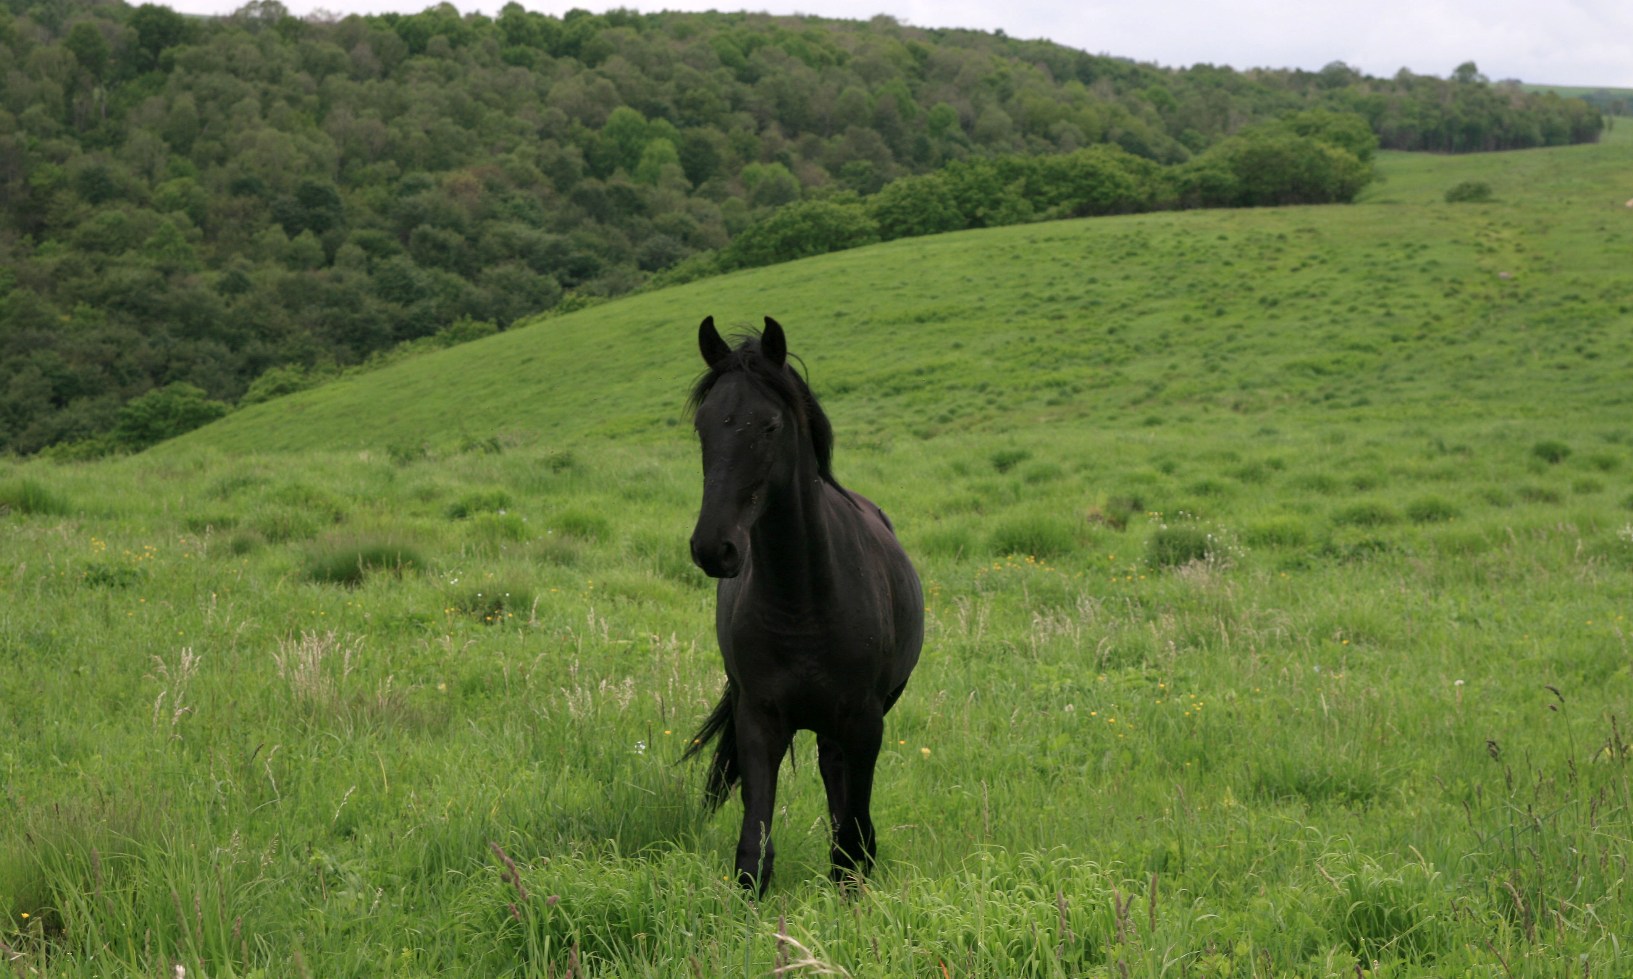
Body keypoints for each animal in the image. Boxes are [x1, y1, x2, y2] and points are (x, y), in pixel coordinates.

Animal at [682, 314, 927, 894]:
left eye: (770, 426)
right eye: (704, 426)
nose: (714, 548)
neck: (803, 604)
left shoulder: (865, 721)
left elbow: (854, 836)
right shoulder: (758, 719)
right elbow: (754, 851)